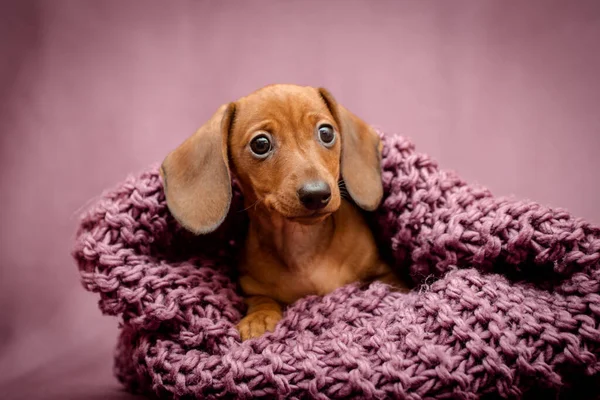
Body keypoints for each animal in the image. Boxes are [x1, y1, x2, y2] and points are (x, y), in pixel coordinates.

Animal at [162, 84, 410, 340]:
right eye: (260, 144)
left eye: (326, 133)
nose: (316, 194)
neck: (302, 245)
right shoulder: (250, 284)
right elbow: (261, 299)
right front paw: (259, 319)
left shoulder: (385, 274)